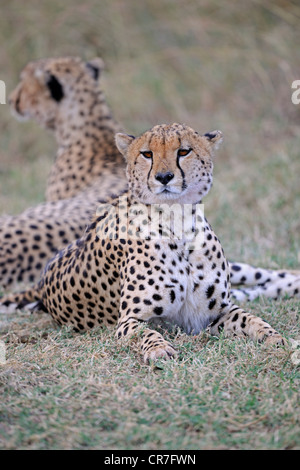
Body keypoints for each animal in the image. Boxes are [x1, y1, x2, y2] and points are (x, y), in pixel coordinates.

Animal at [0, 123, 286, 362]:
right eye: (147, 154)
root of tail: (39, 284)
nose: (164, 177)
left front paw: (275, 337)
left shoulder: (216, 312)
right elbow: (146, 334)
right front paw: (159, 350)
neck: (177, 220)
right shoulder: (130, 320)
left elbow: (251, 319)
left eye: (184, 151)